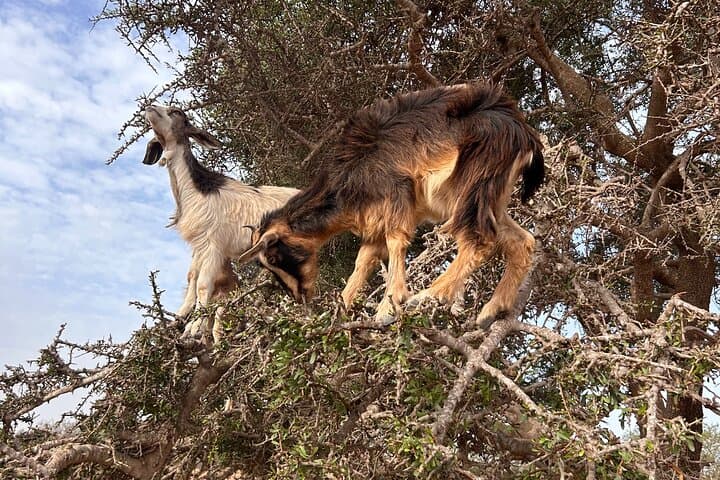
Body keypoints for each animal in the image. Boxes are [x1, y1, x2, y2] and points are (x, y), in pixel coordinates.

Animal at [143, 105, 299, 340]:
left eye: (177, 112)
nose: (150, 107)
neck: (196, 190)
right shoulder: (198, 246)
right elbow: (192, 278)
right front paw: (183, 321)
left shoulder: (213, 246)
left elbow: (203, 285)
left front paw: (196, 328)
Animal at [236, 83, 544, 325]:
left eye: (275, 257)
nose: (299, 295)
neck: (348, 176)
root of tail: (523, 132)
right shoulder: (375, 219)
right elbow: (364, 260)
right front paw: (342, 308)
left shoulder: (396, 196)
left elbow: (396, 241)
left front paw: (389, 306)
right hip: (492, 195)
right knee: (521, 241)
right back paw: (492, 310)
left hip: (474, 182)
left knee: (479, 240)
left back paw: (428, 295)